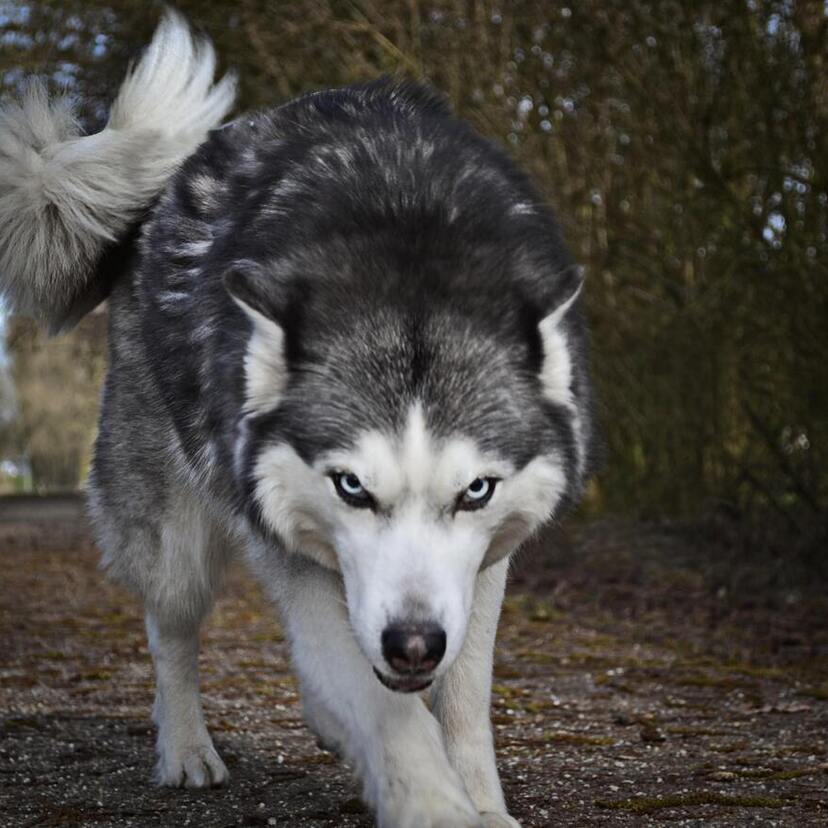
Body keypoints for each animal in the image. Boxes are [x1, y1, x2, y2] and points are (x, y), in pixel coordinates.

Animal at [1, 12, 596, 828]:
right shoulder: (296, 553)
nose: (414, 645)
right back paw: (186, 752)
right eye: (351, 487)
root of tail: (165, 189)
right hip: (175, 539)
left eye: (475, 490)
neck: (405, 242)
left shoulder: (482, 567)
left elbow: (462, 701)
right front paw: (434, 804)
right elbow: (389, 713)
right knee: (170, 630)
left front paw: (482, 804)